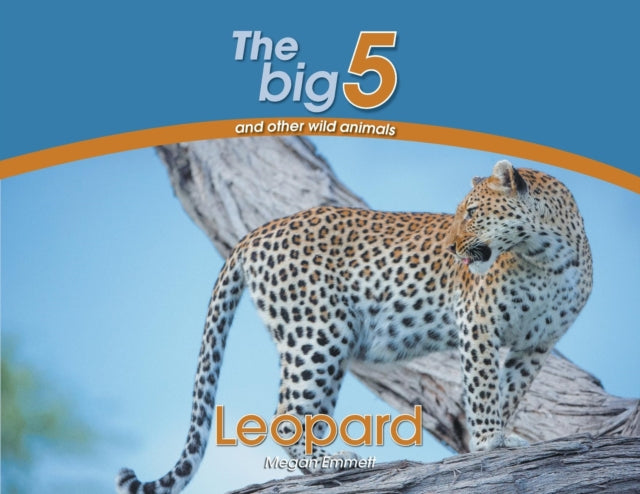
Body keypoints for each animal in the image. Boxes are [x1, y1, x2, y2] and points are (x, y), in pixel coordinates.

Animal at [116, 160, 592, 494]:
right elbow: (482, 390)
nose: (451, 247)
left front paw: (498, 438)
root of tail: (256, 232)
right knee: (286, 415)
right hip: (318, 333)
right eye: (460, 212)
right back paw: (331, 463)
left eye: (473, 211)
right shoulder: (477, 324)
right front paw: (489, 441)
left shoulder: (535, 345)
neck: (547, 256)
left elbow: (508, 391)